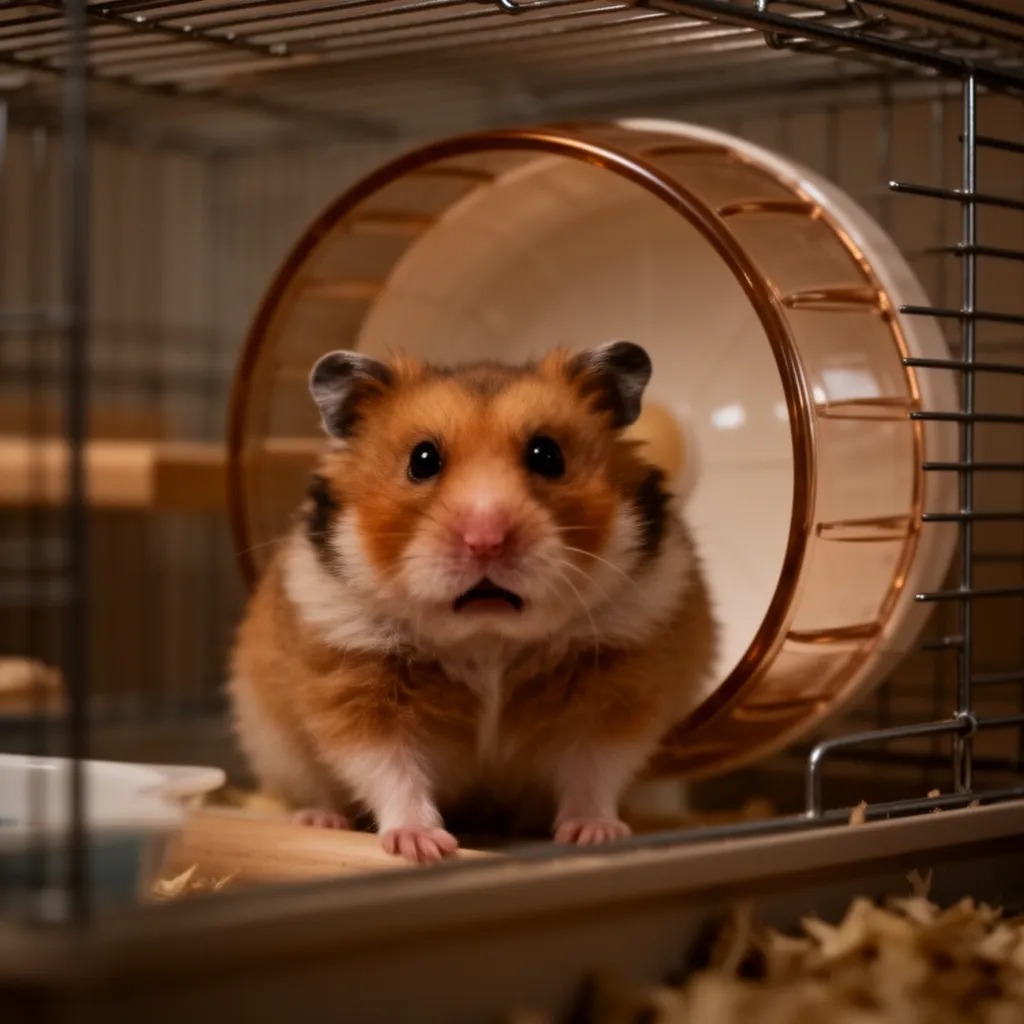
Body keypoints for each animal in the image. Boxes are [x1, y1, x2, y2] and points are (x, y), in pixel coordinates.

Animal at [229, 341, 717, 863]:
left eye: (548, 455)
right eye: (423, 459)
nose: (486, 540)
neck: (488, 640)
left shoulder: (618, 684)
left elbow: (594, 768)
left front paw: (595, 834)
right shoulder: (357, 684)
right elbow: (390, 769)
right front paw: (422, 847)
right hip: (278, 744)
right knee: (316, 790)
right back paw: (320, 819)